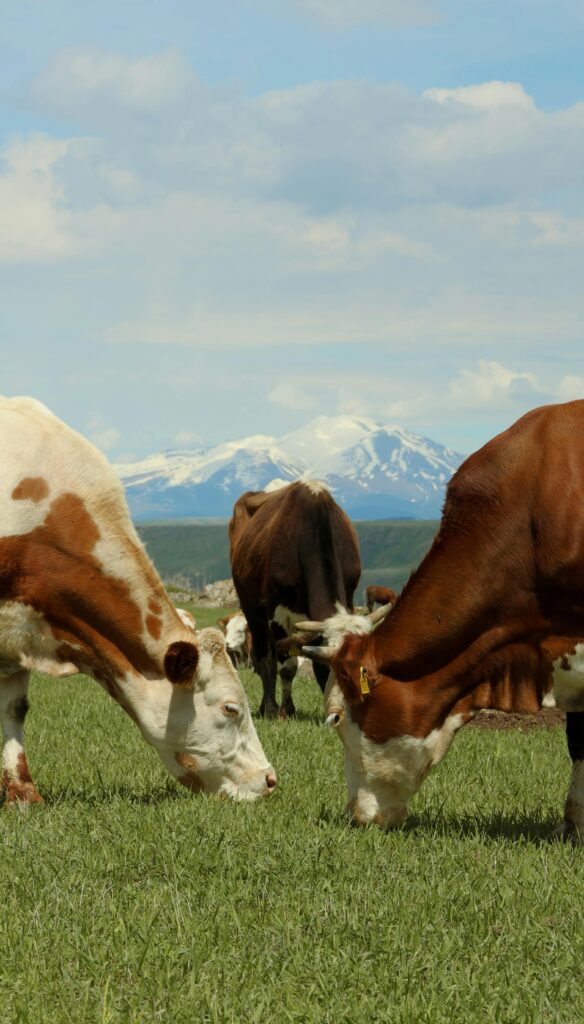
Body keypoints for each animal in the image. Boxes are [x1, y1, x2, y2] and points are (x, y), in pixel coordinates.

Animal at [229, 480, 363, 719]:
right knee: (265, 659)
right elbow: (287, 666)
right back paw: (268, 708)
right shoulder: (277, 615)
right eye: (333, 669)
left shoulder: (349, 595)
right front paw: (285, 711)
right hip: (251, 609)